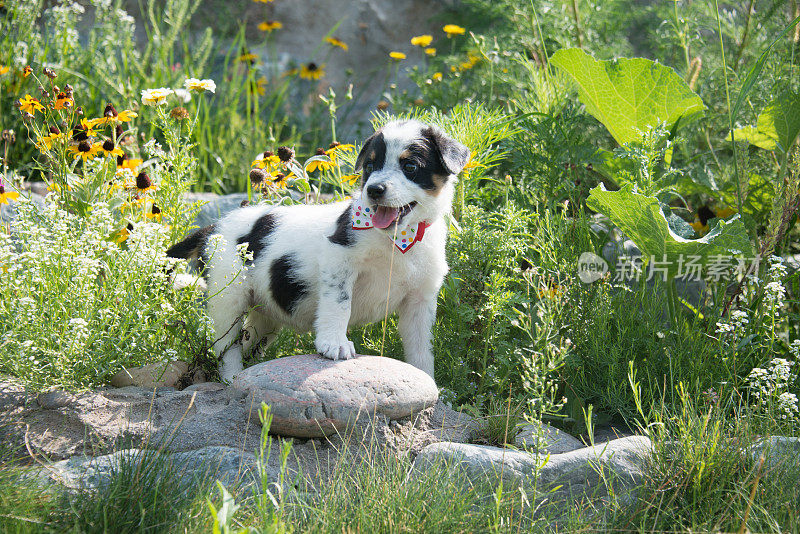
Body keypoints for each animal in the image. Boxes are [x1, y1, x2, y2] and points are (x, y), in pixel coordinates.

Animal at [167, 121, 468, 382]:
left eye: (410, 166)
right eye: (370, 165)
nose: (373, 190)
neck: (398, 241)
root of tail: (214, 228)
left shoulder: (420, 300)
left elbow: (421, 349)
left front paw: (428, 382)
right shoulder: (339, 259)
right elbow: (339, 304)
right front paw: (334, 344)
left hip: (263, 316)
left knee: (248, 342)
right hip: (227, 299)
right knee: (226, 348)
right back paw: (232, 379)